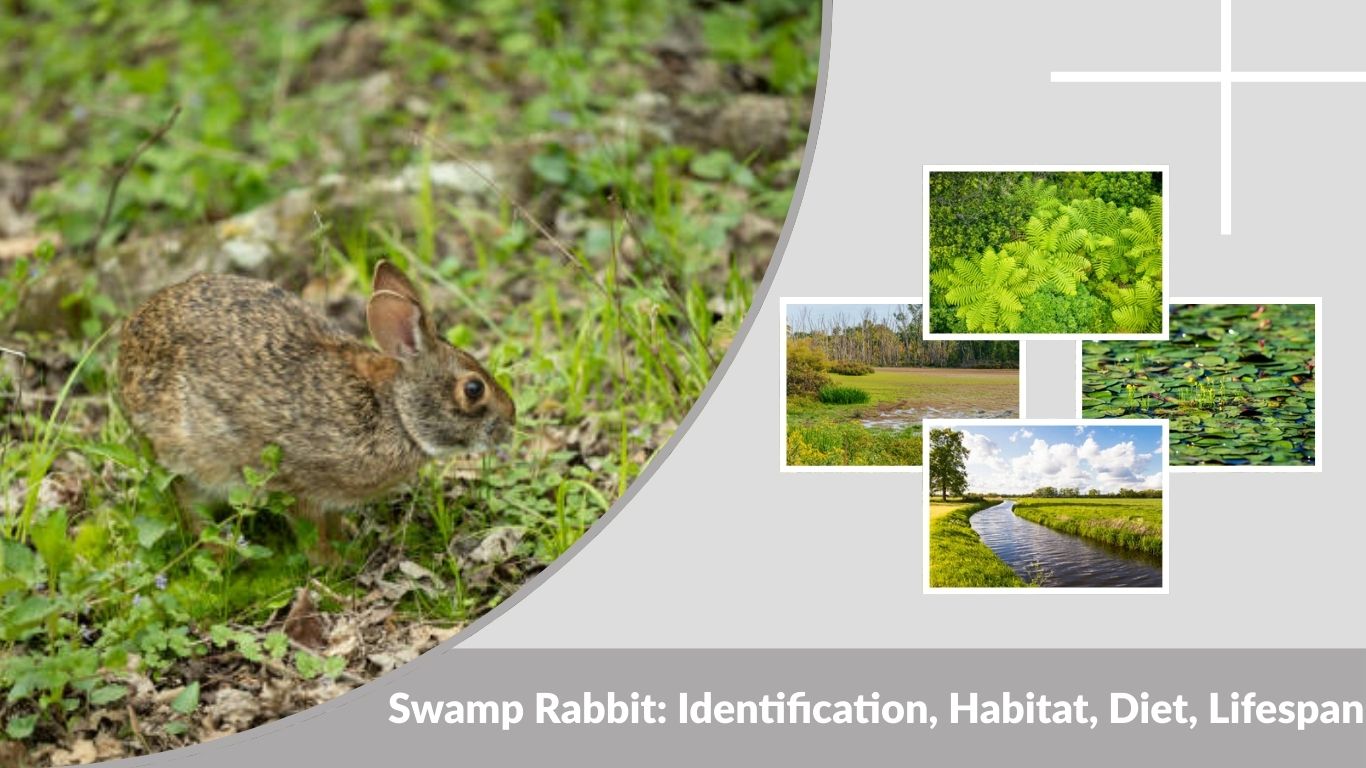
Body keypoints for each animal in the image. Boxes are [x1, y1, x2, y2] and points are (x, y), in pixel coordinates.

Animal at [116, 261, 515, 549]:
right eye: (474, 389)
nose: (511, 419)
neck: (394, 412)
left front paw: (348, 542)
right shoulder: (296, 482)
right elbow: (312, 533)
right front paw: (336, 565)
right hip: (187, 460)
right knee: (191, 508)